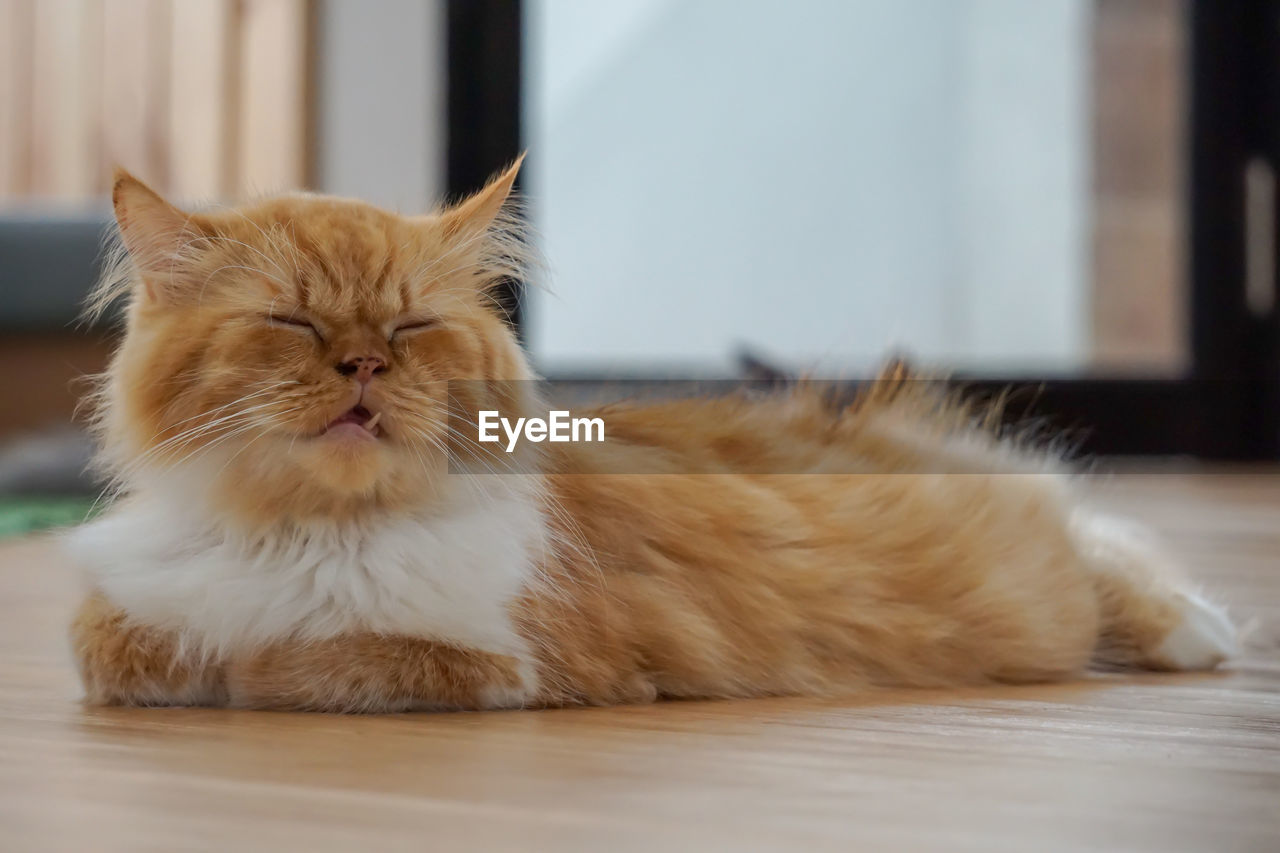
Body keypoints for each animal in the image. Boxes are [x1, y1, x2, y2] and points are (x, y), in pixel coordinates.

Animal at [62, 157, 1239, 712]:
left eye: (408, 329)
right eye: (295, 324)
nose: (363, 367)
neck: (307, 534)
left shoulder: (513, 660)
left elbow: (293, 661)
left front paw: (245, 662)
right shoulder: (113, 621)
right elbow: (132, 649)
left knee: (1102, 546)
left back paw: (1201, 631)